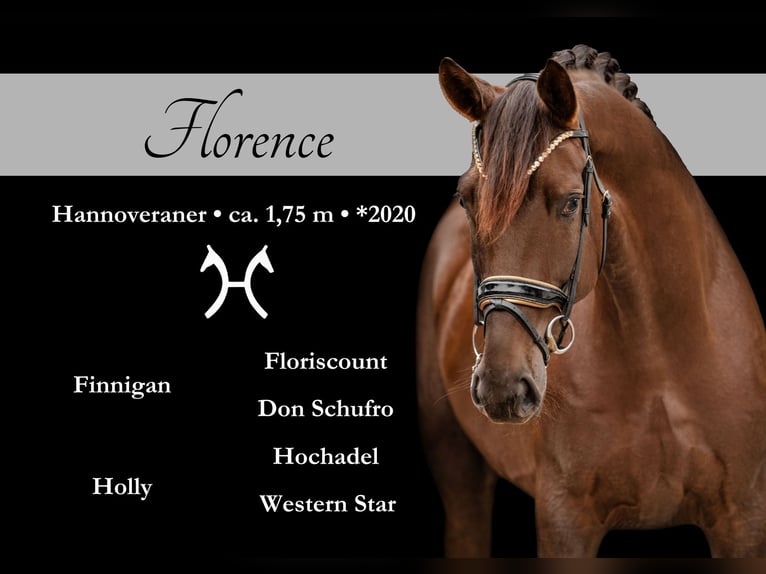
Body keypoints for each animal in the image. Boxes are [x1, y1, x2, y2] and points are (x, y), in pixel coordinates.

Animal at [416, 44, 766, 557]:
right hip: (459, 471)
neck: (661, 364)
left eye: (570, 201)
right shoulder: (566, 522)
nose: (502, 387)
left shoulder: (742, 520)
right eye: (466, 199)